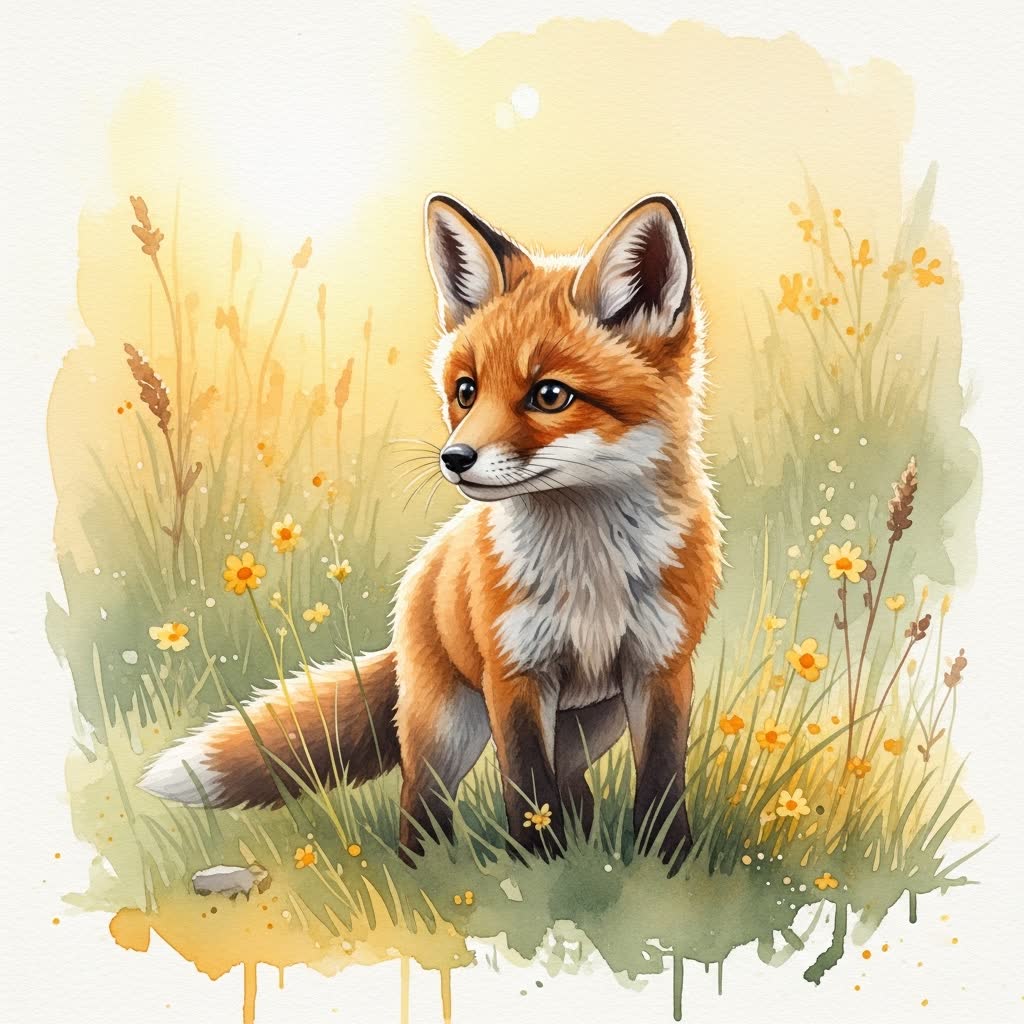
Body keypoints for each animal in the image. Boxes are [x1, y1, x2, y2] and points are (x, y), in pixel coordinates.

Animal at [140, 193, 722, 870]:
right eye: (466, 391)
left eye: (550, 395)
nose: (455, 458)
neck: (589, 574)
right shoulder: (514, 674)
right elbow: (527, 789)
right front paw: (537, 871)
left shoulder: (662, 668)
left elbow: (659, 785)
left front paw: (664, 865)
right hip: (446, 731)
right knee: (421, 804)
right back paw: (429, 872)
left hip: (588, 728)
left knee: (572, 788)